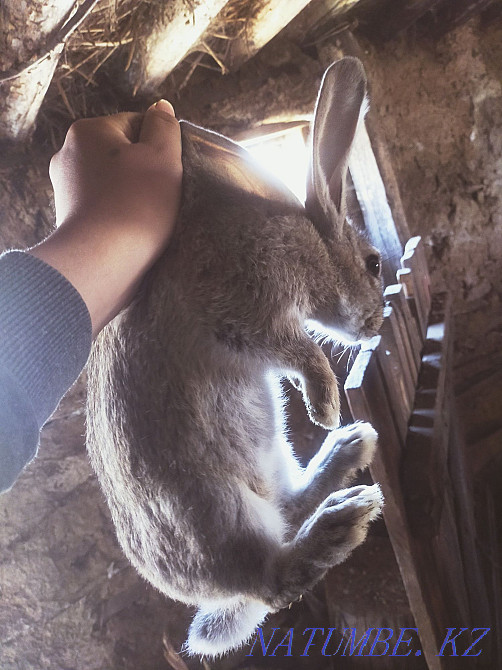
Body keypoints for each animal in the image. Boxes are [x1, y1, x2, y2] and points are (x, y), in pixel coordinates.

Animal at [86, 56, 385, 658]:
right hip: (217, 511)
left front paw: (333, 421)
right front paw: (325, 406)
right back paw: (344, 516)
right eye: (373, 264)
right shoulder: (243, 308)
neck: (314, 249)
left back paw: (347, 451)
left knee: (287, 512)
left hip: (271, 464)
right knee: (275, 579)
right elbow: (297, 350)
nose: (379, 319)